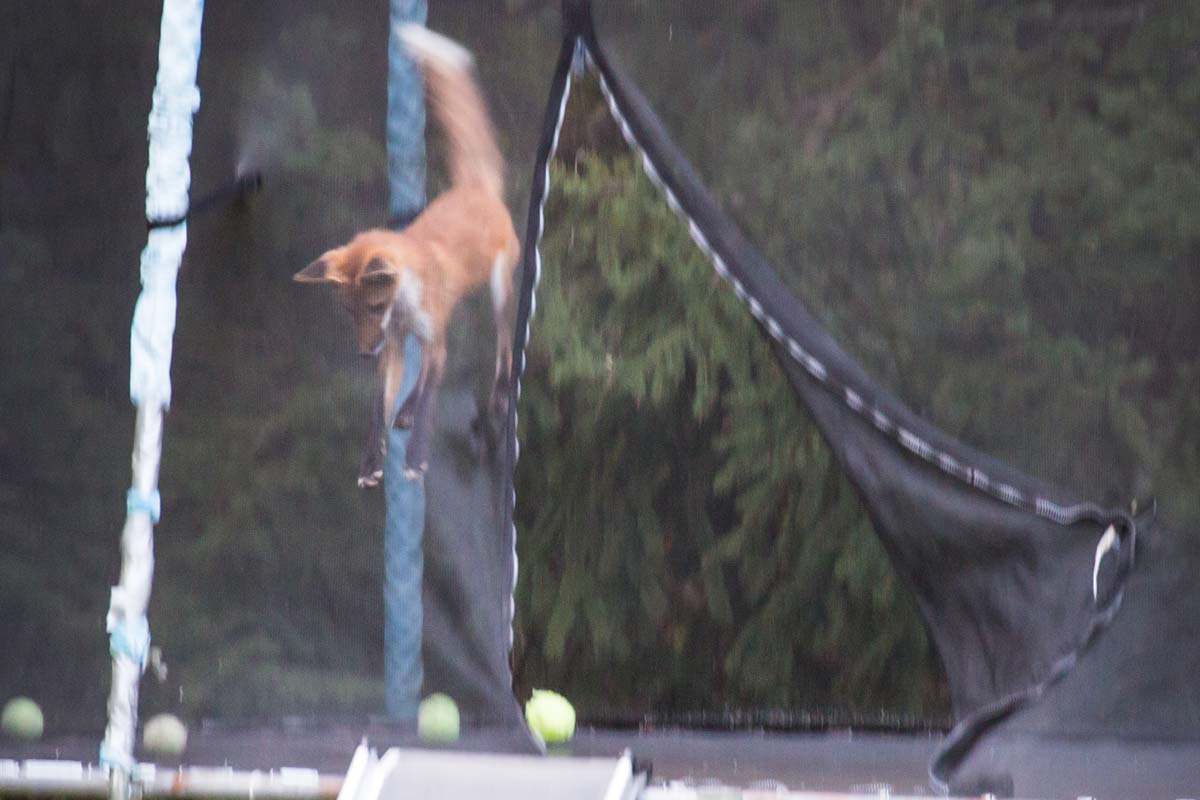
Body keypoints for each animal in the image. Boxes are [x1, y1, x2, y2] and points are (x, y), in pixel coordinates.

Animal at [295, 24, 519, 487]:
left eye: (374, 304)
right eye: (349, 312)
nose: (364, 354)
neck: (401, 307)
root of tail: (474, 189)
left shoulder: (429, 338)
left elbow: (432, 398)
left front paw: (415, 457)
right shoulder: (396, 342)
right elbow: (377, 410)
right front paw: (371, 461)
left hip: (499, 290)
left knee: (504, 344)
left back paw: (500, 394)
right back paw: (409, 408)